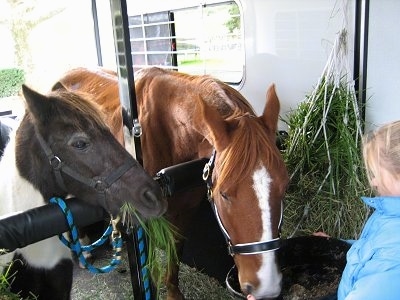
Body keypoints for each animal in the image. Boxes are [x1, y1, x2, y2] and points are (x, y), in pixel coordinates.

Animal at [54, 67, 290, 298]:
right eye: (224, 194)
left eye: (284, 187)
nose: (266, 286)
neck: (171, 133)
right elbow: (147, 266)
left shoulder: (185, 211)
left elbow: (175, 250)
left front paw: (173, 291)